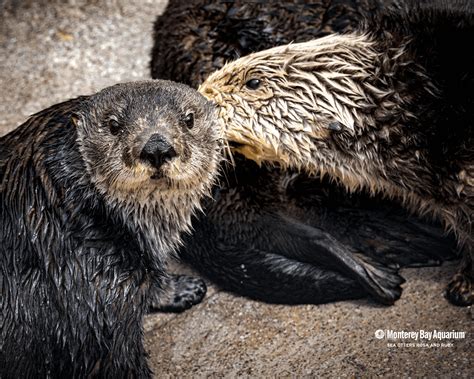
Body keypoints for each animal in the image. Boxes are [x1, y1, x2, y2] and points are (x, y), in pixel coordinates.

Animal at [0, 80, 222, 378]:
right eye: (114, 125)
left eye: (189, 120)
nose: (156, 148)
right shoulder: (97, 295)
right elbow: (117, 362)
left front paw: (183, 289)